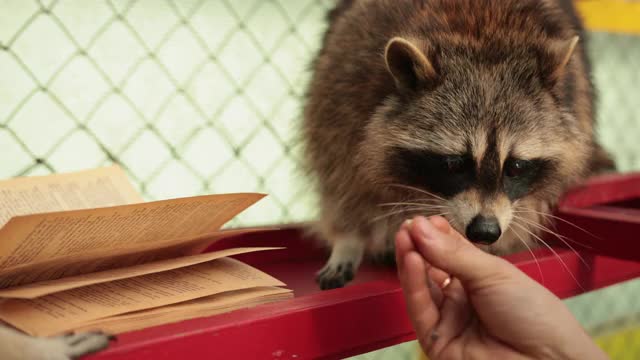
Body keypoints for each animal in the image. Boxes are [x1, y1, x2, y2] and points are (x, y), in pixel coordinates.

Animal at [302, 0, 612, 290]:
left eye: (516, 166)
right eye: (454, 164)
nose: (485, 232)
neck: (484, 38)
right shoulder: (345, 90)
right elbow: (344, 179)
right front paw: (348, 239)